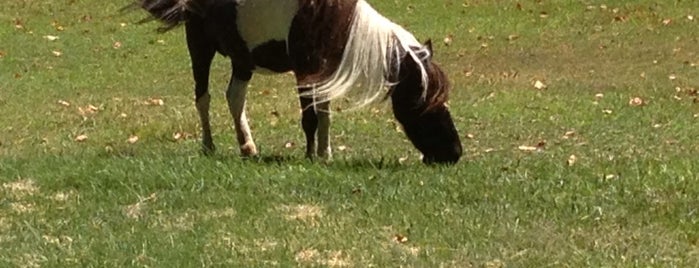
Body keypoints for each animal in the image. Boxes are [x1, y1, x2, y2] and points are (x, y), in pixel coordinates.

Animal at [129, 0, 462, 164]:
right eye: (424, 102)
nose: (455, 153)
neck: (329, 17)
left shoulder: (324, 73)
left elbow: (324, 115)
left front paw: (325, 154)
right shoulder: (305, 71)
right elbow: (310, 118)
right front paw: (310, 155)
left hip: (243, 60)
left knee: (235, 98)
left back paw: (248, 148)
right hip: (200, 47)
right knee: (203, 98)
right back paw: (208, 146)